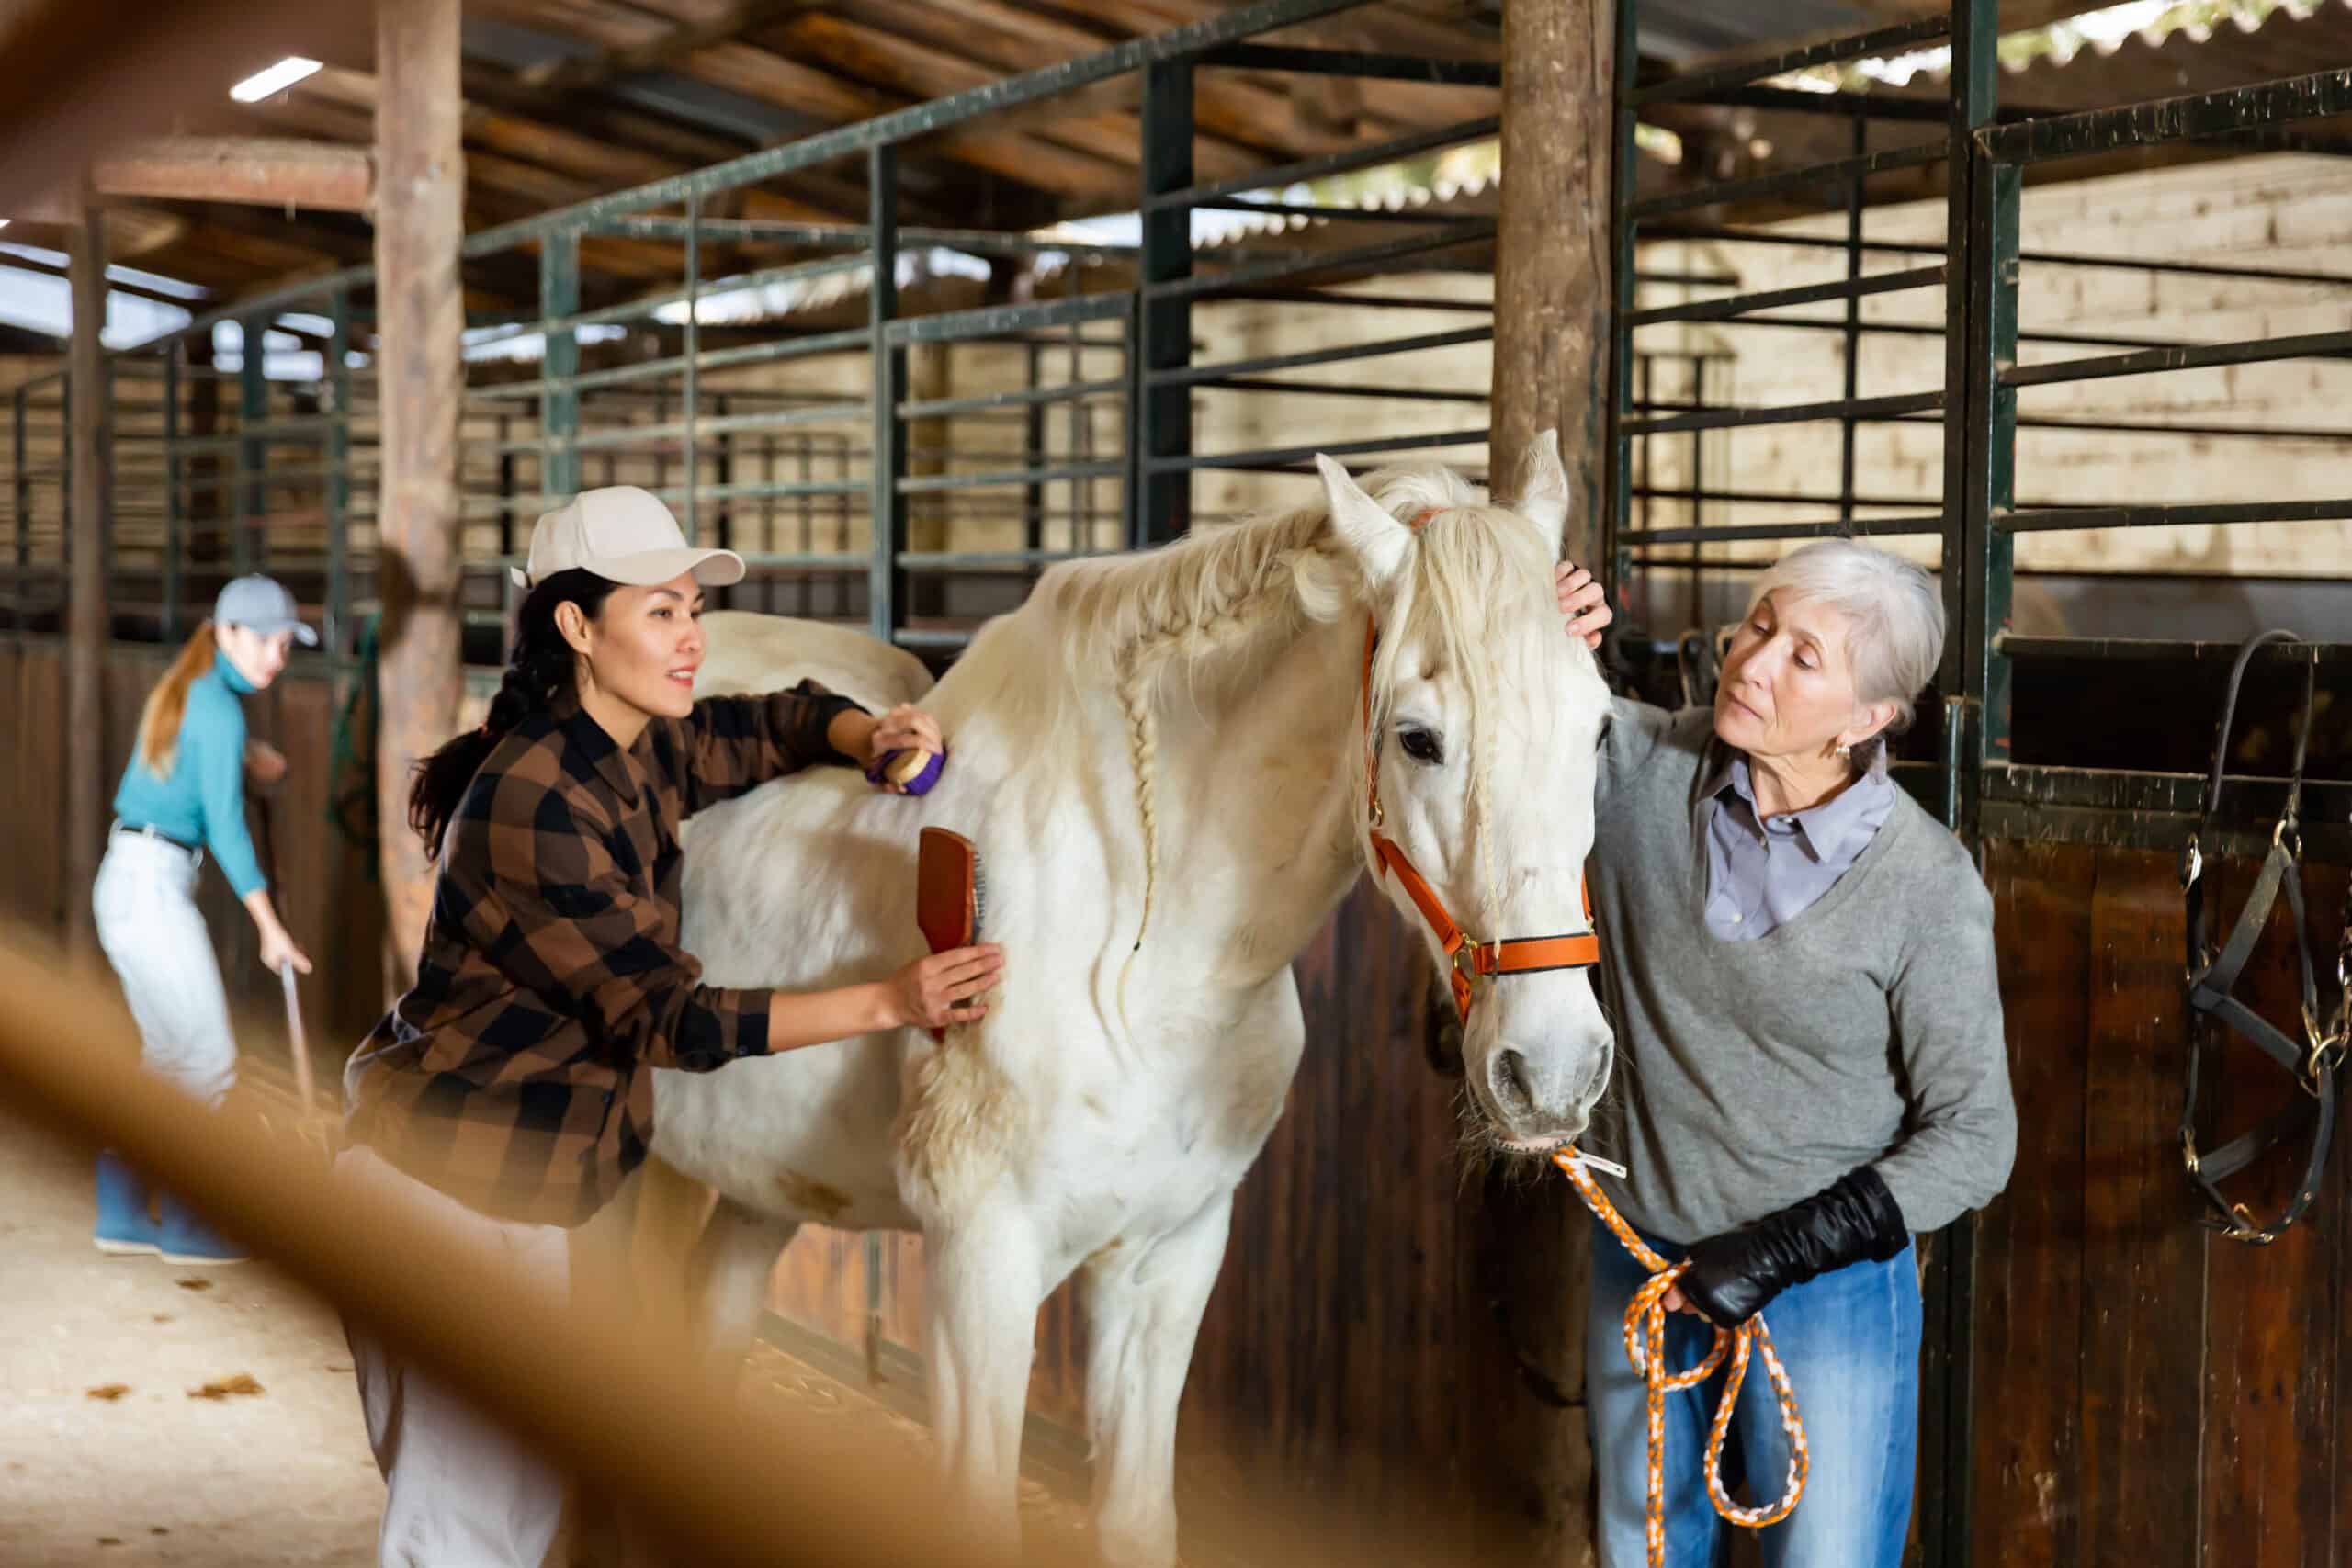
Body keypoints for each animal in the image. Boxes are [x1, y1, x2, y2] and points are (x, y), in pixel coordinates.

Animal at [653, 434, 1627, 1561]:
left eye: (1599, 730)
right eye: (1418, 738)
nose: (1552, 1068)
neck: (1140, 959)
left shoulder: (1167, 1261)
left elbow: (1135, 1517)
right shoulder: (979, 1271)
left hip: (753, 1189)